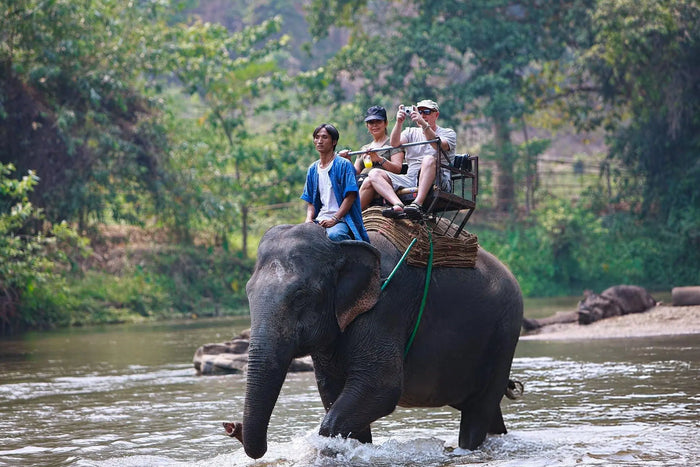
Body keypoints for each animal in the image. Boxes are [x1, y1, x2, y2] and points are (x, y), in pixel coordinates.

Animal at [227, 222, 523, 459]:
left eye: (300, 296)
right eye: (248, 292)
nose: (232, 427)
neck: (340, 244)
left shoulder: (385, 306)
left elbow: (380, 386)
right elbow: (331, 389)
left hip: (504, 335)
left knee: (479, 409)